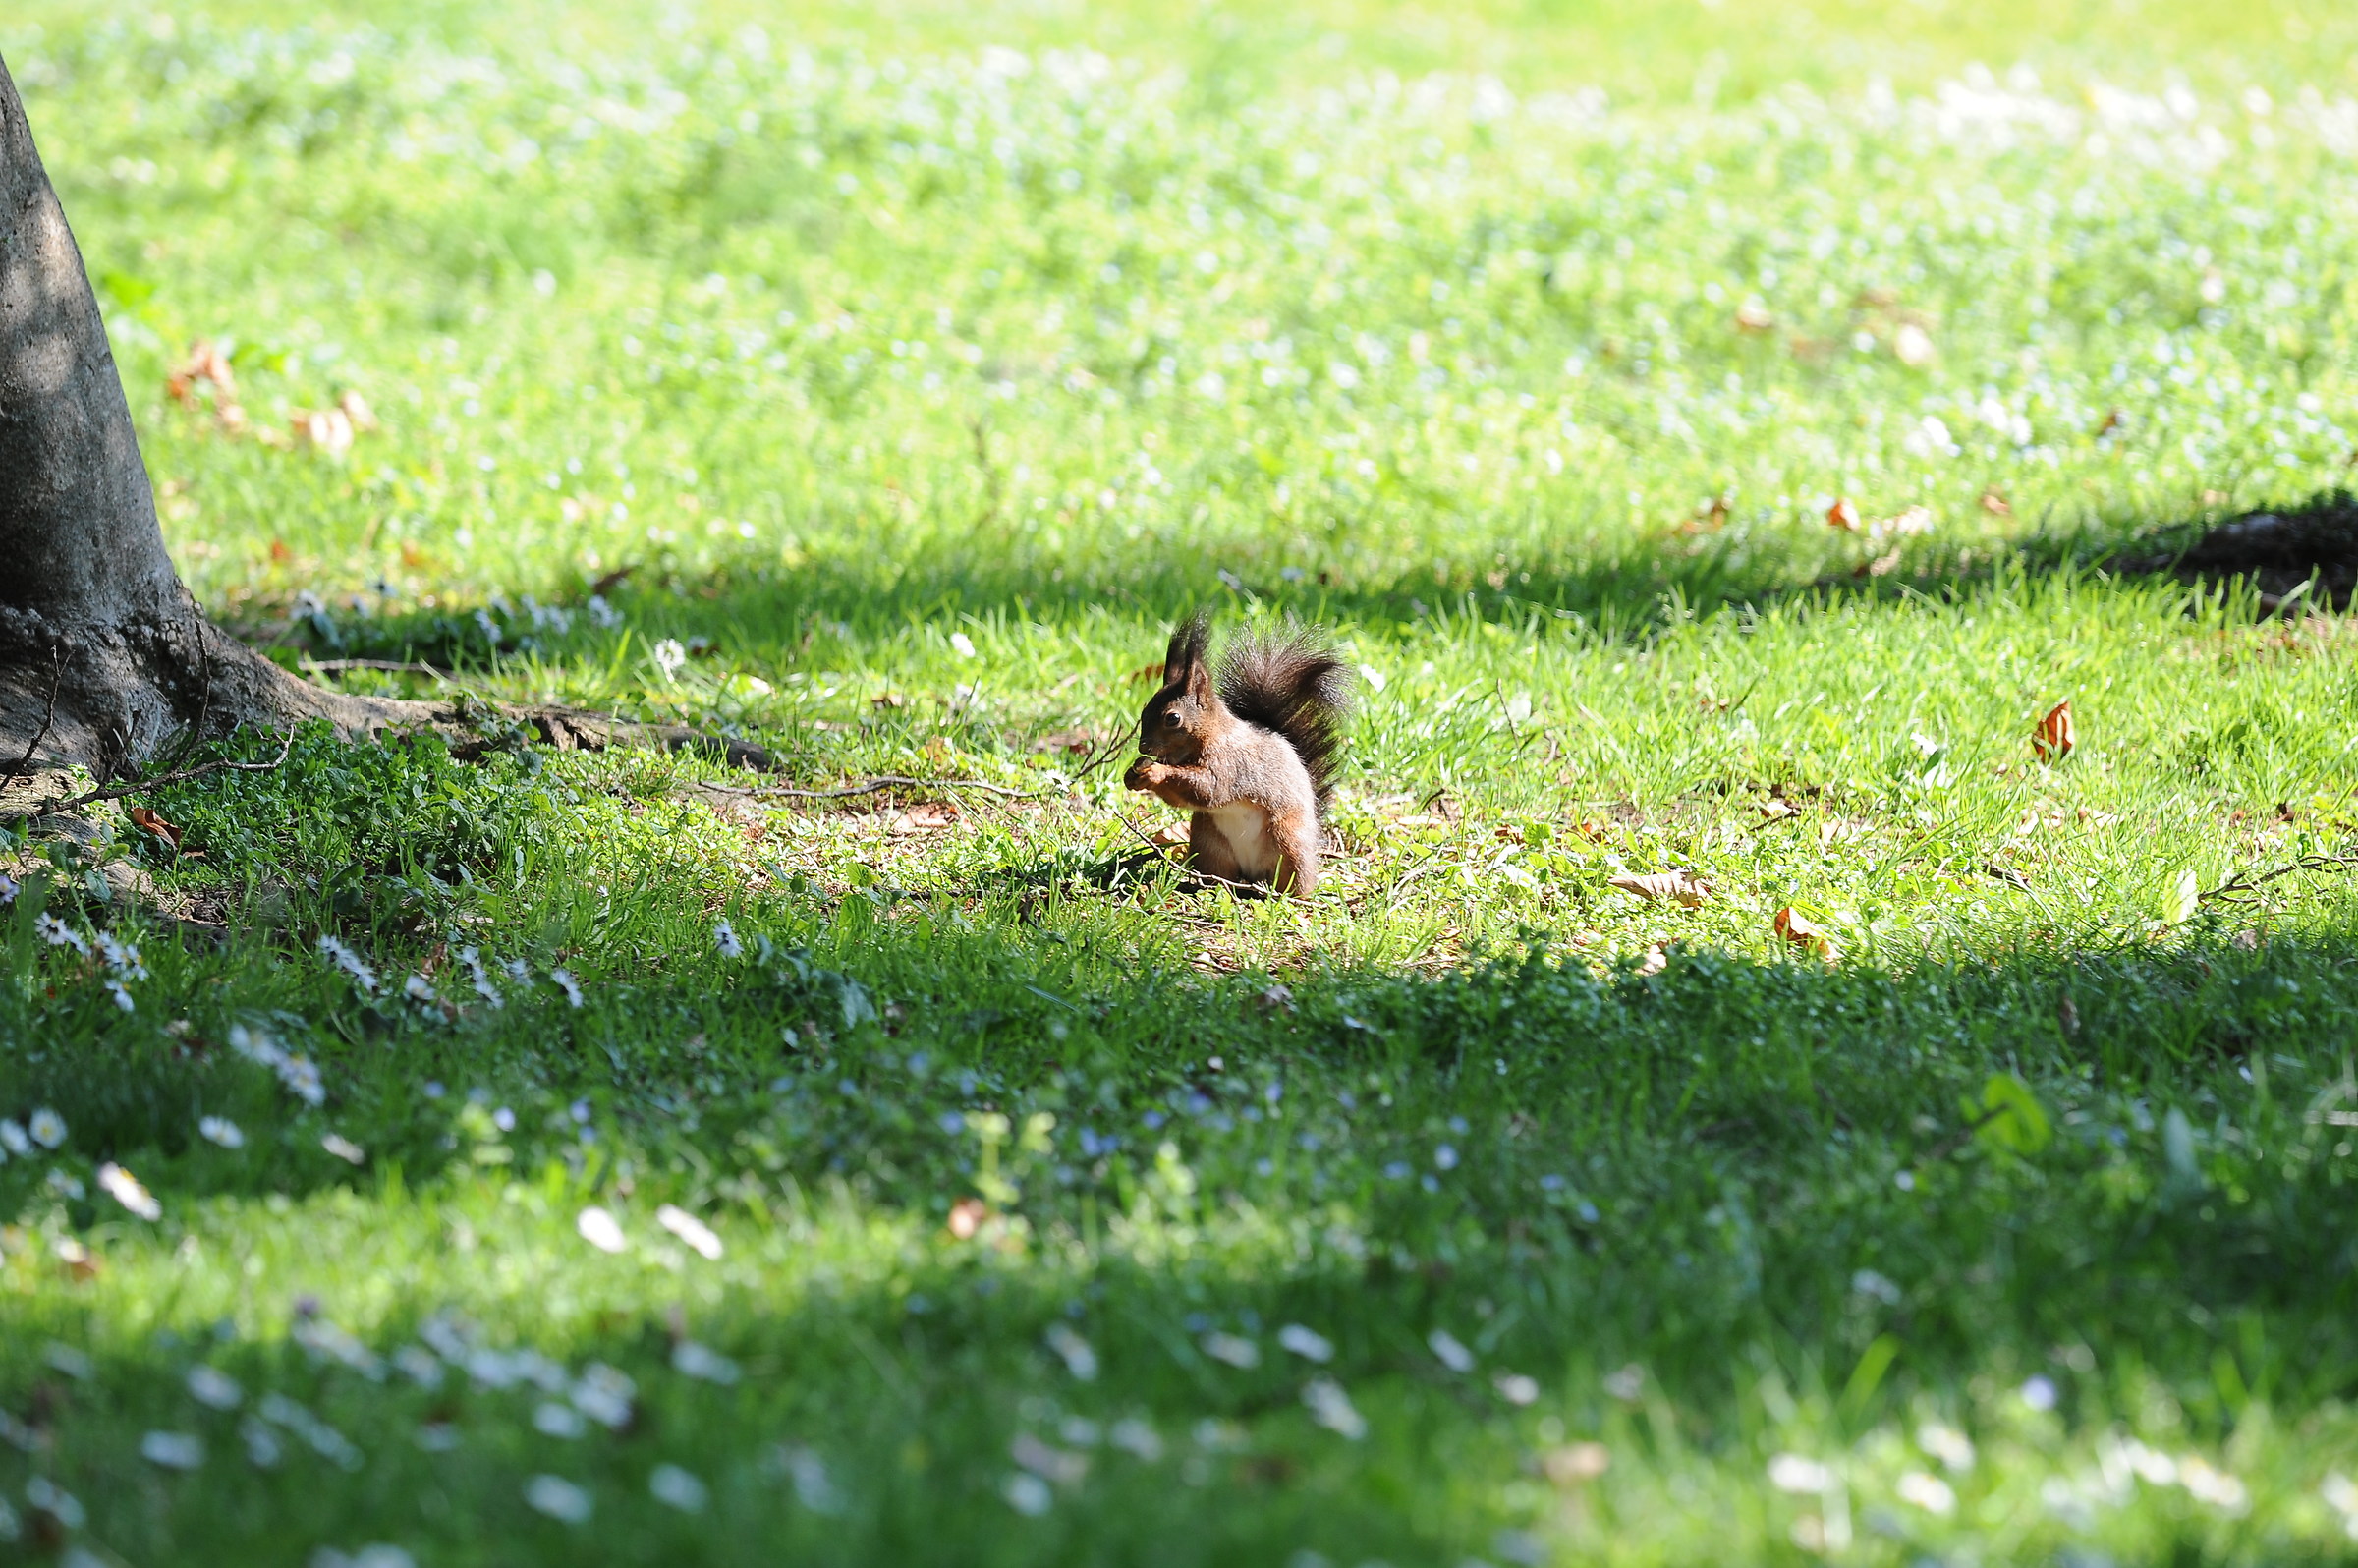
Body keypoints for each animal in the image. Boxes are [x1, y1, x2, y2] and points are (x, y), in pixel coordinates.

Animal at [1123, 611, 1356, 896]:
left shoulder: (1230, 764)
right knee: (1219, 875)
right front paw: (1132, 776)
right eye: (1145, 710)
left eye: (1173, 718)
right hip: (1208, 843)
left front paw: (1155, 772)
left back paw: (1292, 895)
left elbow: (1209, 789)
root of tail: (1252, 874)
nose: (1143, 747)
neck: (1210, 735)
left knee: (1296, 879)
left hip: (1288, 840)